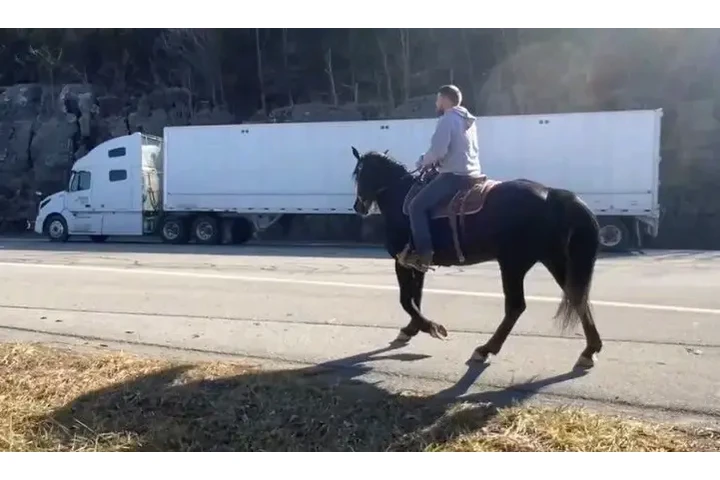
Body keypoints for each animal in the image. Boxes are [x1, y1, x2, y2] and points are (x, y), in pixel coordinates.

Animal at [350, 146, 603, 369]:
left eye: (360, 174)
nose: (358, 206)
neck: (401, 197)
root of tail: (553, 194)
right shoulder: (417, 263)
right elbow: (416, 298)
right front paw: (411, 329)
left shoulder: (401, 262)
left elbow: (406, 300)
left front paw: (432, 328)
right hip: (553, 260)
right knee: (577, 298)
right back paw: (589, 350)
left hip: (513, 263)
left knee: (516, 306)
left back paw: (485, 349)